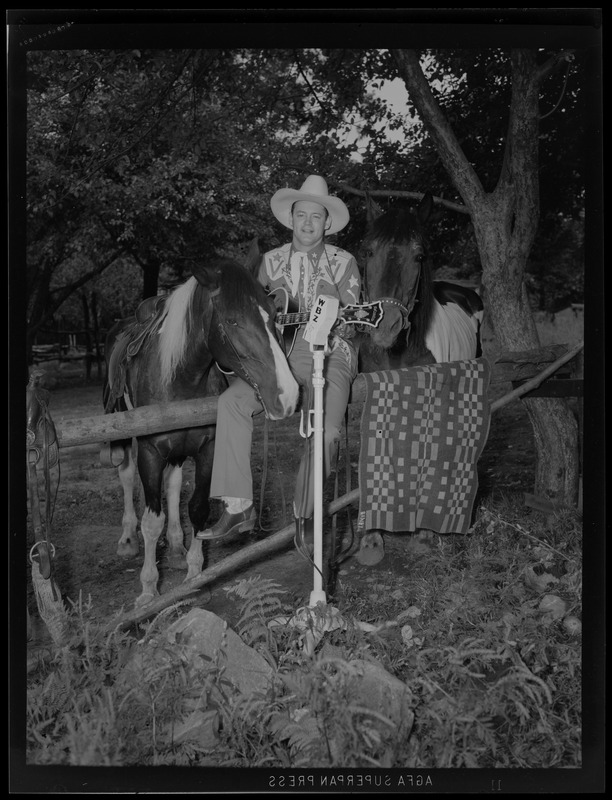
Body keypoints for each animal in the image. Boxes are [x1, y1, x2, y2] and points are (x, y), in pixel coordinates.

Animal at [104, 258, 300, 608]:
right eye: (233, 320)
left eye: (274, 315)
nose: (287, 394)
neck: (180, 378)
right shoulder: (151, 452)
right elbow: (151, 521)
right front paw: (148, 590)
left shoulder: (207, 447)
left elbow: (197, 509)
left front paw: (195, 576)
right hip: (124, 435)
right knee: (126, 477)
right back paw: (127, 540)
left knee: (173, 484)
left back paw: (176, 545)